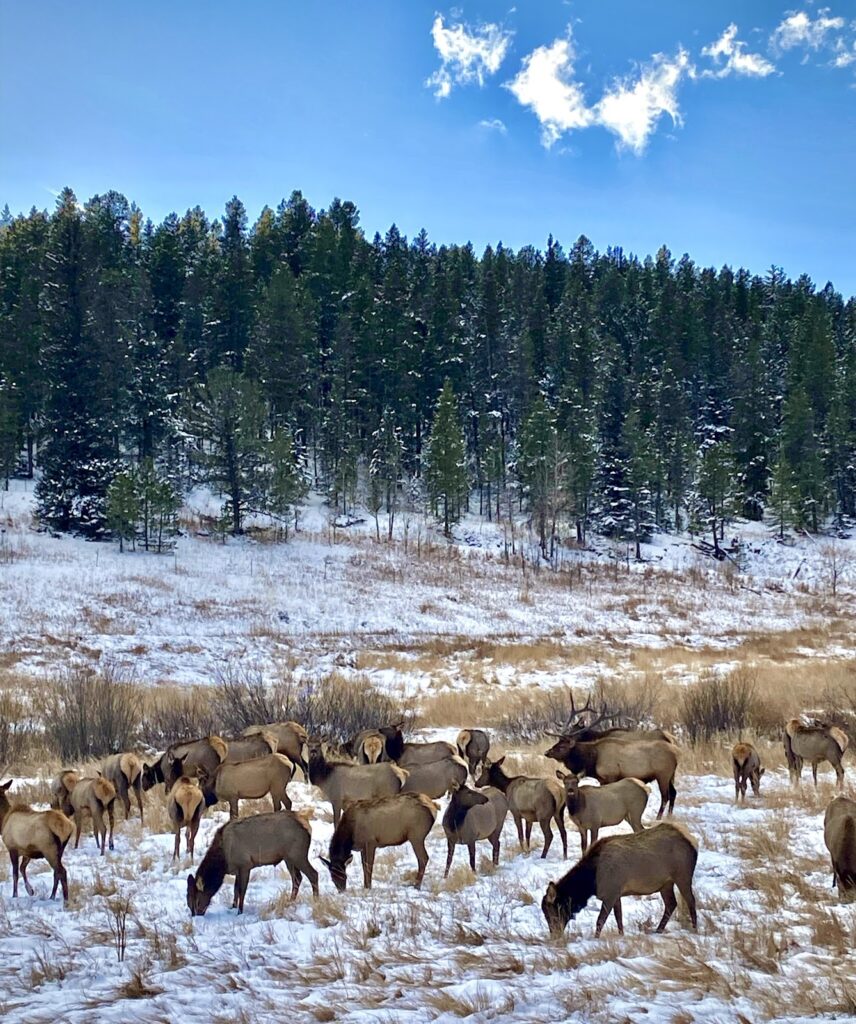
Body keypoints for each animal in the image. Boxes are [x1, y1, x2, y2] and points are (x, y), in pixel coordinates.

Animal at [187, 811, 317, 917]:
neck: (223, 860)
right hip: (288, 858)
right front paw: (233, 907)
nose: (195, 916)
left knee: (313, 874)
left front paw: (240, 912)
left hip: (298, 855)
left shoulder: (245, 864)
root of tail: (308, 827)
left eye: (197, 901)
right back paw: (290, 902)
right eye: (188, 903)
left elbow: (242, 891)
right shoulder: (238, 869)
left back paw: (316, 901)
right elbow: (235, 890)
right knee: (297, 878)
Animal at [544, 819, 700, 937]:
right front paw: (621, 935)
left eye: (551, 912)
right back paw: (658, 930)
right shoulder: (616, 893)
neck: (591, 882)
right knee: (671, 904)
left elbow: (600, 920)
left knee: (691, 900)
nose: (555, 935)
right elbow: (619, 918)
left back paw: (694, 929)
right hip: (665, 883)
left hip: (682, 875)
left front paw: (596, 938)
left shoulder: (611, 893)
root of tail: (692, 842)